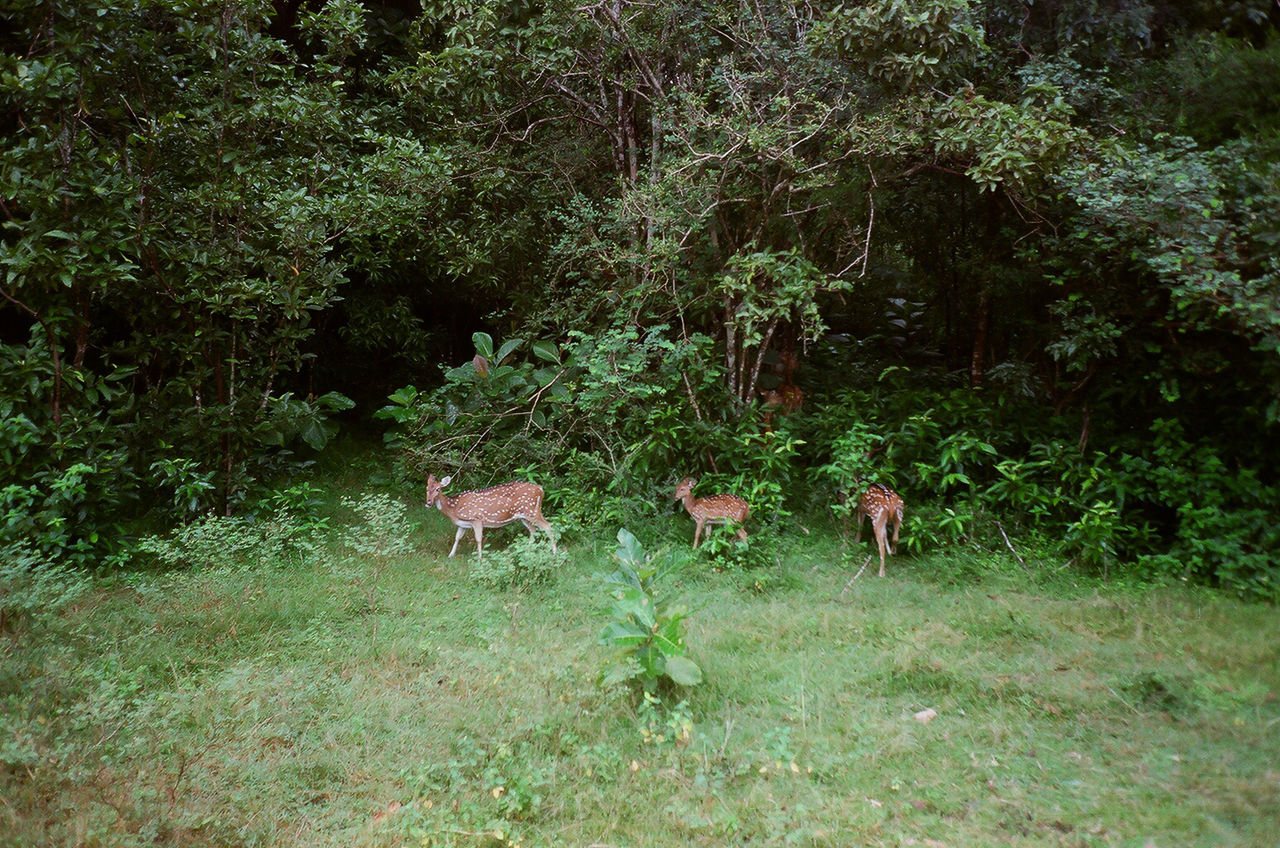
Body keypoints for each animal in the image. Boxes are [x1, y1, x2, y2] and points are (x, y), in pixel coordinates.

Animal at [427, 473, 558, 561]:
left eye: (438, 489)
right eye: (427, 488)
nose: (428, 502)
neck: (454, 508)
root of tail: (541, 489)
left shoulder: (476, 518)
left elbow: (478, 538)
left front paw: (480, 558)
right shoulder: (463, 524)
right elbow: (457, 538)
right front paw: (450, 555)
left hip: (532, 511)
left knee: (548, 526)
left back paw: (554, 552)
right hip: (524, 516)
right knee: (533, 530)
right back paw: (528, 551)